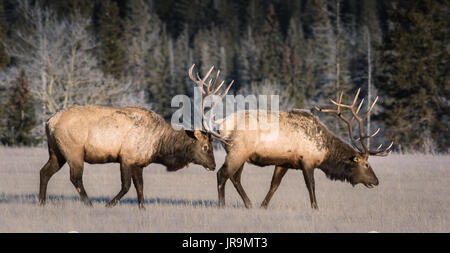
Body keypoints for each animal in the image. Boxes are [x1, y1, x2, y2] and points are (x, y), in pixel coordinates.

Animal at [38, 64, 232, 209]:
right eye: (206, 147)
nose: (213, 165)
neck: (159, 147)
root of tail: (49, 122)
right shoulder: (126, 157)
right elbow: (126, 186)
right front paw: (109, 204)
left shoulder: (139, 163)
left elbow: (140, 187)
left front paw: (142, 208)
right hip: (73, 151)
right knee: (75, 178)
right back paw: (89, 204)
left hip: (56, 151)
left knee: (44, 172)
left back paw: (41, 202)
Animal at [213, 89, 392, 210]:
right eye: (366, 165)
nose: (376, 181)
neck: (325, 151)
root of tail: (221, 126)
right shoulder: (307, 161)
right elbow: (311, 185)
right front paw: (315, 208)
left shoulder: (284, 162)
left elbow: (274, 185)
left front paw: (263, 205)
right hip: (238, 151)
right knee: (222, 174)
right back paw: (222, 205)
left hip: (241, 155)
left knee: (235, 177)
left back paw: (248, 203)